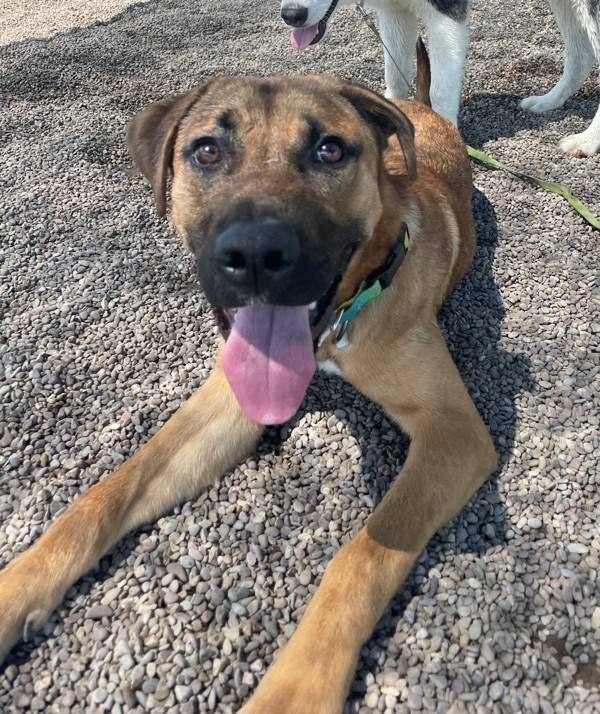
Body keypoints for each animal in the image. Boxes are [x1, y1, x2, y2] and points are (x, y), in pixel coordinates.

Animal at [0, 59, 496, 708]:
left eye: (329, 150)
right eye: (207, 151)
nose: (257, 254)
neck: (332, 328)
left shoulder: (454, 432)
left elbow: (362, 556)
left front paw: (295, 688)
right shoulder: (225, 405)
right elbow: (108, 492)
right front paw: (18, 586)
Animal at [282, 0, 600, 156]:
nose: (291, 14)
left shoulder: (445, 15)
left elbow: (440, 91)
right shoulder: (396, 12)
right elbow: (395, 78)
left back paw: (587, 140)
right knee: (581, 55)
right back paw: (550, 101)